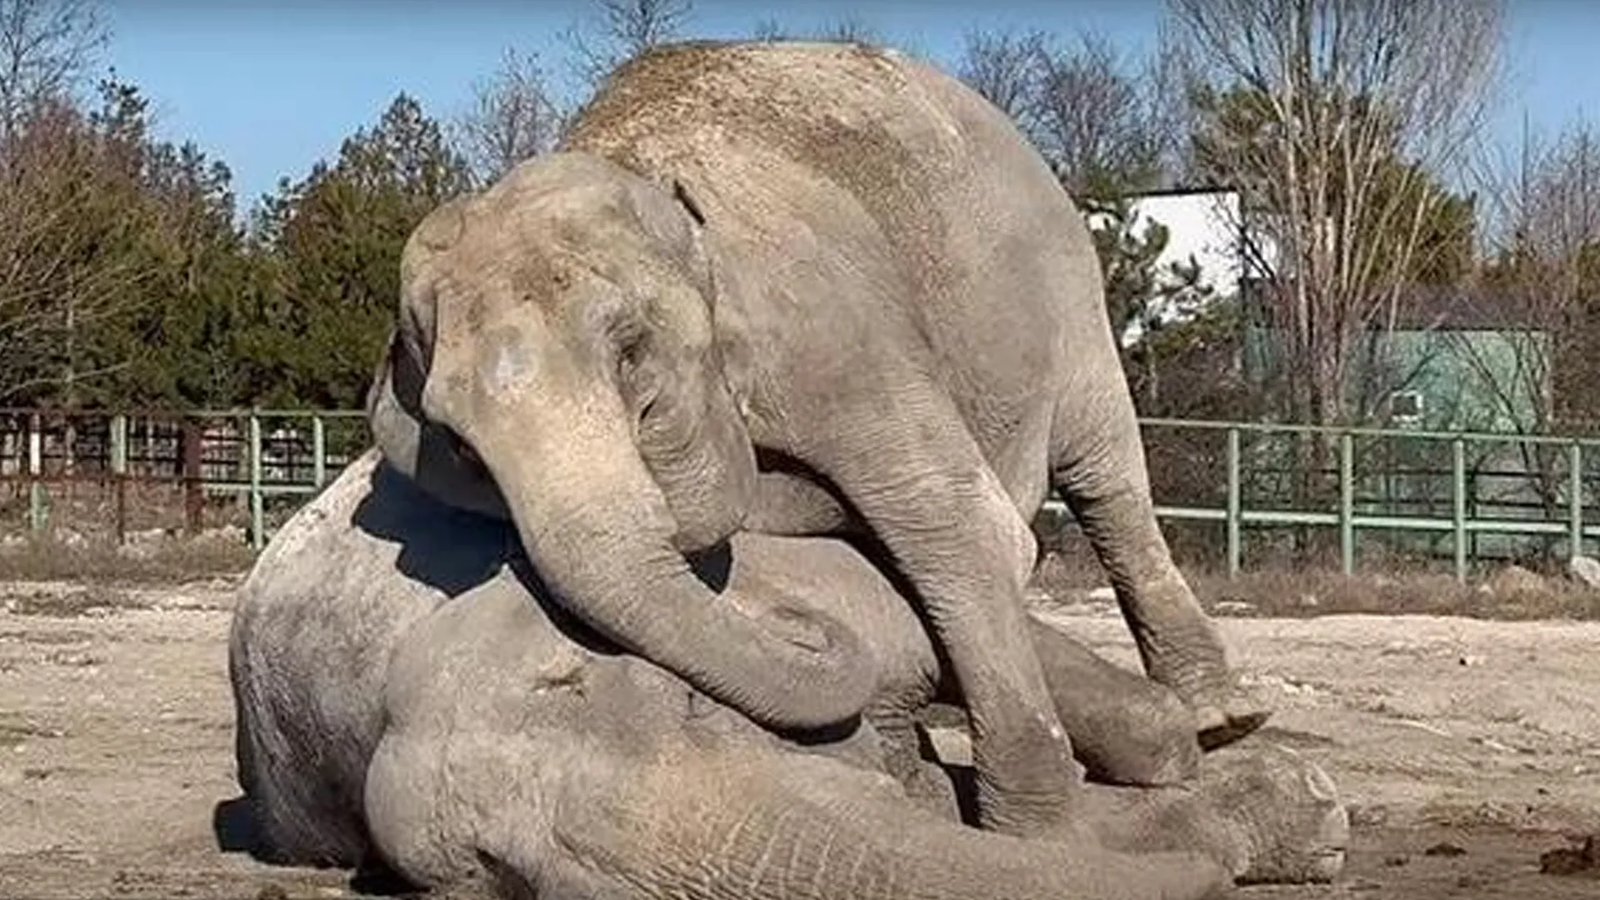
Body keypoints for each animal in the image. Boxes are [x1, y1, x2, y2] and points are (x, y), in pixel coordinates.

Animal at [367, 38, 1268, 840]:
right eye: (458, 443)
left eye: (629, 352)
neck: (638, 171)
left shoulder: (838, 340)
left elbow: (960, 527)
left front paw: (1038, 836)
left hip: (1071, 301)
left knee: (1107, 475)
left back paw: (1221, 720)